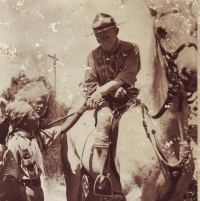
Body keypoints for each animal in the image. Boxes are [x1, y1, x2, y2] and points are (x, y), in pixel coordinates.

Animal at [61, 0, 198, 200]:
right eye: (161, 31)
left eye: (195, 27)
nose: (191, 74)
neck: (163, 133)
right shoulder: (136, 193)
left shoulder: (178, 195)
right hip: (73, 174)